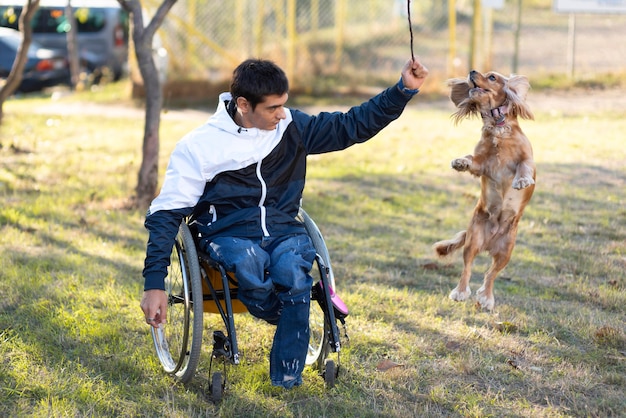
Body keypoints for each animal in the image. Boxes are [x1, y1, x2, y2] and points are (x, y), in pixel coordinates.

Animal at [432, 70, 532, 310]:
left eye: (493, 77)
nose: (471, 72)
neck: (498, 127)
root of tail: (489, 242)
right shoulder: (482, 164)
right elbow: (471, 159)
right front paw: (460, 162)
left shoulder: (527, 158)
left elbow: (524, 167)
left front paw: (522, 181)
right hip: (473, 240)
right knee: (468, 268)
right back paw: (461, 292)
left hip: (505, 251)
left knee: (491, 274)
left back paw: (487, 298)